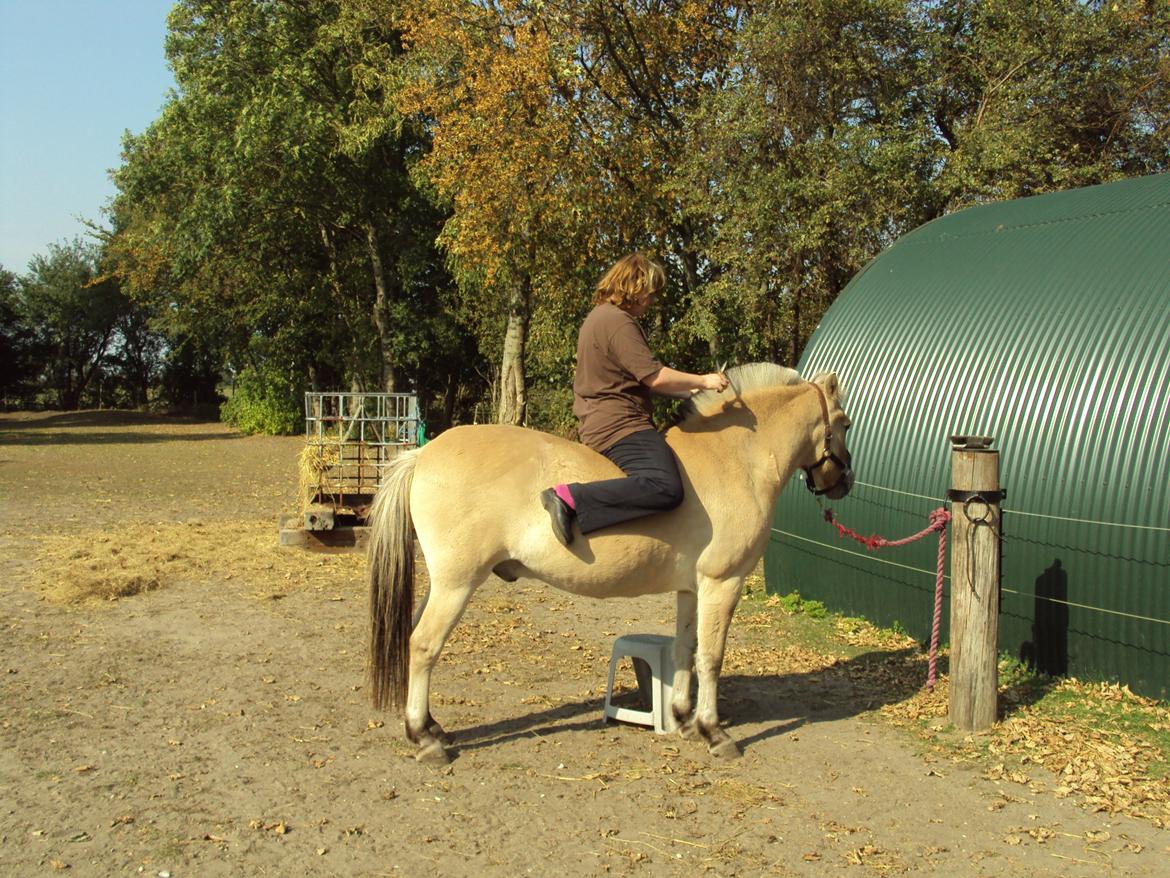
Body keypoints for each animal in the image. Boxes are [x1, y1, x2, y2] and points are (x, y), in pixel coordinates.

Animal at [369, 365, 856, 763]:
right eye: (845, 424)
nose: (844, 482)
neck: (734, 459)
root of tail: (424, 454)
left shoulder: (692, 588)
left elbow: (686, 649)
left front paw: (682, 718)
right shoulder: (723, 582)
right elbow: (712, 657)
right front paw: (713, 731)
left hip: (443, 582)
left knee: (416, 640)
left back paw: (431, 727)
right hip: (457, 584)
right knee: (425, 645)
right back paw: (424, 738)